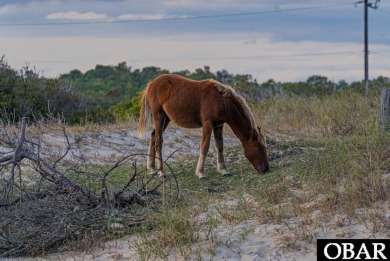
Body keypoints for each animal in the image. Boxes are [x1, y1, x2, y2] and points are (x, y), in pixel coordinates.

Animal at [139, 74, 270, 178]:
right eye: (259, 148)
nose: (266, 169)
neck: (222, 101)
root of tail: (151, 84)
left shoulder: (218, 126)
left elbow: (220, 146)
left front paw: (224, 170)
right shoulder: (208, 124)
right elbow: (205, 147)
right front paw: (201, 172)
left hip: (166, 119)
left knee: (153, 136)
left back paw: (152, 168)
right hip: (159, 117)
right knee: (158, 141)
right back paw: (161, 172)